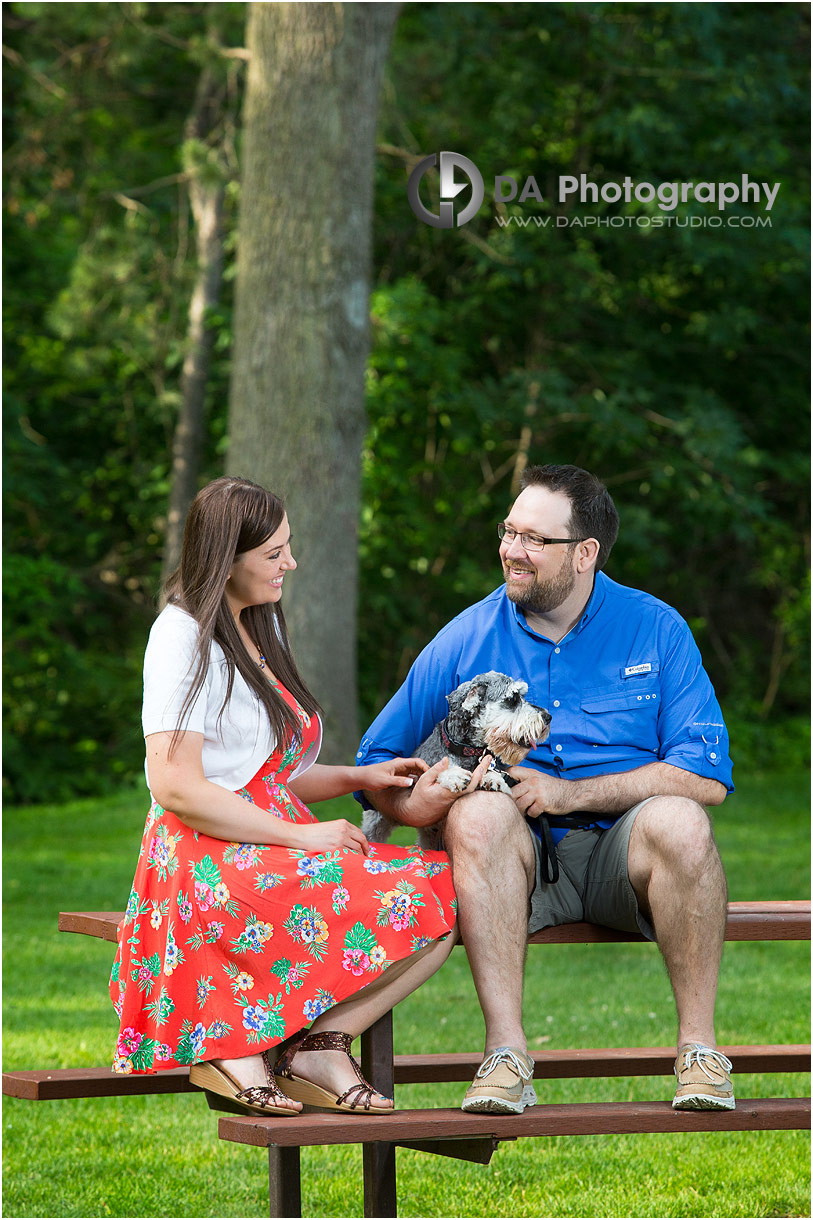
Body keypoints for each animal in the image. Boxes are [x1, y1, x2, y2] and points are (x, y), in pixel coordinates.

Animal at [361, 673, 546, 854]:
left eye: (522, 695)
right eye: (512, 699)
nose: (548, 717)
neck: (467, 750)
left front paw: (493, 778)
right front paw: (454, 775)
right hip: (375, 823)